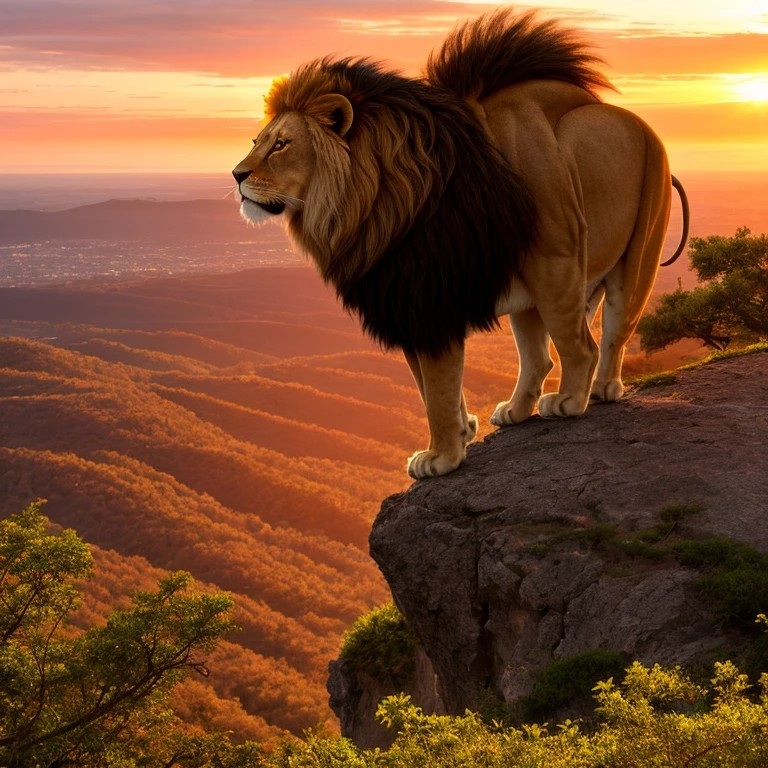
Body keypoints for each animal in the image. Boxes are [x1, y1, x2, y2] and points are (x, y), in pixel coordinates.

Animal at [232, 9, 690, 478]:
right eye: (257, 141)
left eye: (282, 144)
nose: (236, 175)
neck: (366, 207)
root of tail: (625, 116)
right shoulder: (404, 305)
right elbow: (430, 389)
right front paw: (463, 432)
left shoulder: (430, 300)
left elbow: (436, 391)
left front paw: (441, 456)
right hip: (534, 276)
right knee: (540, 356)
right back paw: (518, 410)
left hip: (580, 256)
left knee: (596, 341)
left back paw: (580, 397)